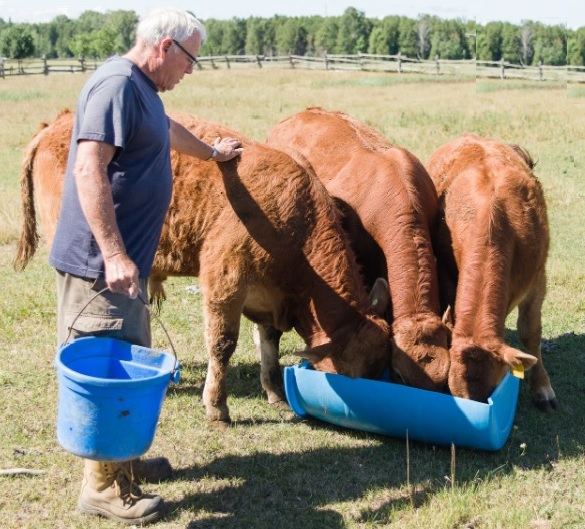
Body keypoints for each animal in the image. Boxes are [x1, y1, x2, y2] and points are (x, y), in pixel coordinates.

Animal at [13, 109, 390, 426]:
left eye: (381, 365)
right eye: (356, 371)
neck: (297, 221)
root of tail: (57, 122)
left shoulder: (271, 295)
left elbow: (270, 343)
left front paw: (276, 396)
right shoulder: (225, 281)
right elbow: (222, 344)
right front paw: (217, 407)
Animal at [424, 133, 556, 412]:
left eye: (491, 389)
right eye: (453, 391)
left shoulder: (537, 280)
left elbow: (530, 332)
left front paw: (542, 388)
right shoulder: (447, 276)